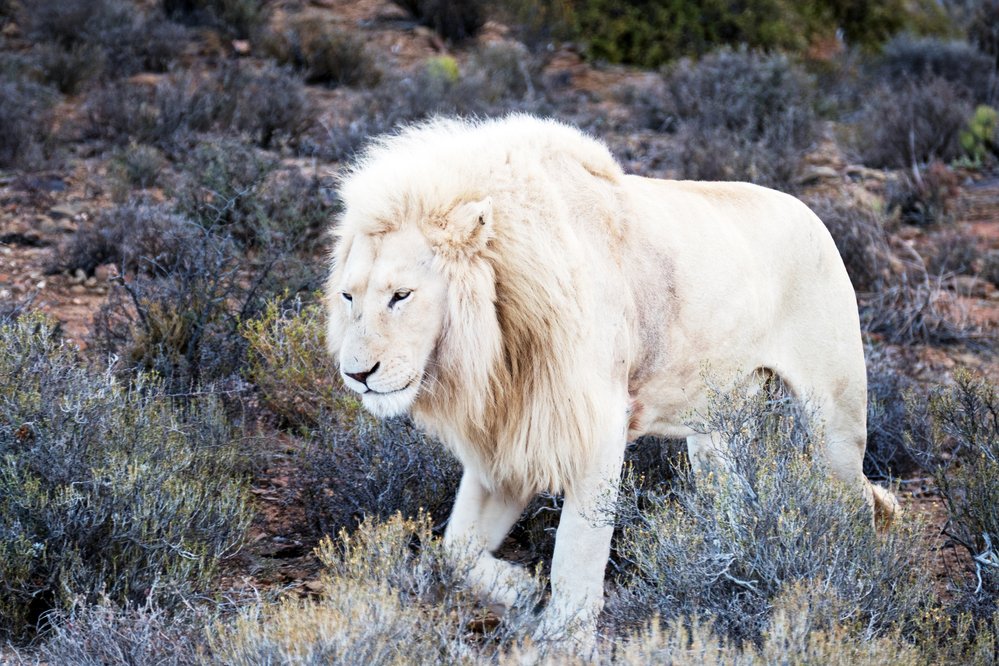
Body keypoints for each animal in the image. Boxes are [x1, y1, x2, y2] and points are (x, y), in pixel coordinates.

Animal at [328, 113, 900, 644]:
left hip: (834, 417)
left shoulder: (594, 429)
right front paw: (521, 593)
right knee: (736, 500)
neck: (499, 344)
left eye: (401, 296)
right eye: (349, 296)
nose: (357, 374)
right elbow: (455, 552)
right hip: (715, 432)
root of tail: (810, 212)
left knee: (854, 499)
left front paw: (564, 638)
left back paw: (860, 574)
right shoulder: (509, 442)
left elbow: (575, 555)